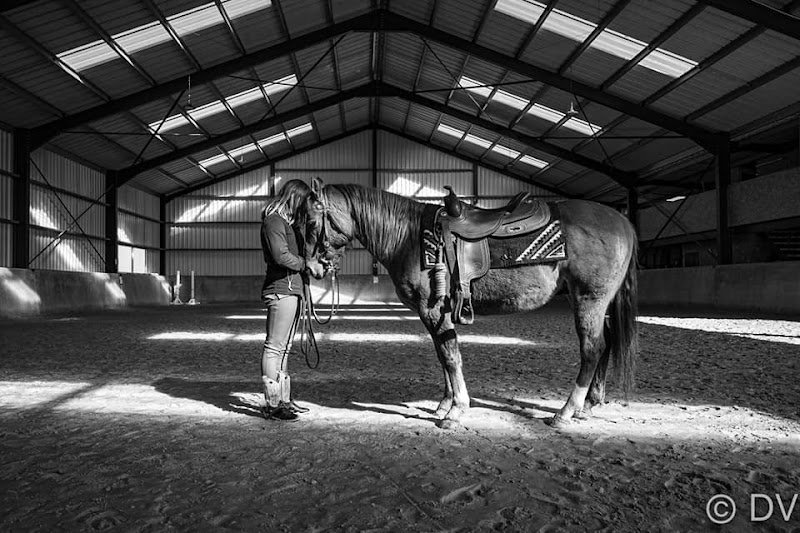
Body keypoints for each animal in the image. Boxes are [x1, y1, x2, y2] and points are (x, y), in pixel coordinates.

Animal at [299, 178, 638, 429]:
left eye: (312, 222)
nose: (312, 269)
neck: (408, 237)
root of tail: (622, 220)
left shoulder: (432, 308)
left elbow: (450, 356)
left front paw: (456, 410)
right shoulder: (437, 312)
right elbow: (443, 354)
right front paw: (444, 404)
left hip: (588, 299)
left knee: (592, 349)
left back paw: (566, 412)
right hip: (600, 304)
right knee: (606, 344)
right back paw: (589, 405)